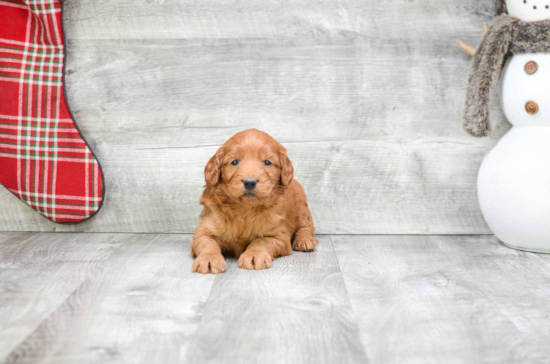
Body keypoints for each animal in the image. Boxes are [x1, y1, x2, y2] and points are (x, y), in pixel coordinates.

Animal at [192, 128, 316, 272]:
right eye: (234, 162)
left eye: (267, 162)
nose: (249, 182)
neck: (244, 208)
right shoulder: (204, 229)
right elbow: (207, 243)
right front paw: (209, 259)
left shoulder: (279, 236)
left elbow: (261, 241)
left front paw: (254, 255)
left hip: (302, 209)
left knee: (306, 226)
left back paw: (305, 241)